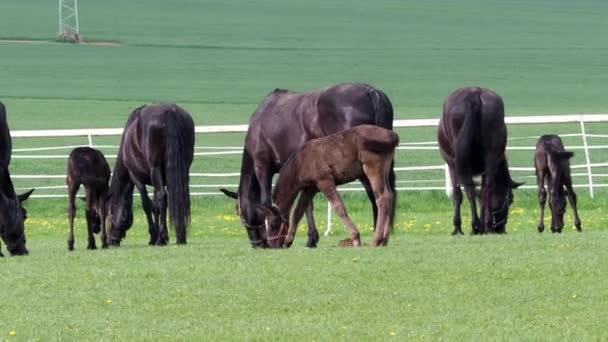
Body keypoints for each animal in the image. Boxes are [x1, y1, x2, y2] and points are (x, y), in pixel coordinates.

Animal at [107, 104, 195, 246]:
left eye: (110, 214)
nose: (111, 240)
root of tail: (170, 112)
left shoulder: (136, 178)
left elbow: (147, 204)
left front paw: (154, 236)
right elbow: (156, 206)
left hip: (155, 169)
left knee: (162, 197)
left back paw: (161, 238)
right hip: (183, 170)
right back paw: (180, 236)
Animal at [218, 83, 394, 248]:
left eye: (239, 214)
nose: (257, 244)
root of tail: (372, 92)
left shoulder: (263, 167)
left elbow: (270, 201)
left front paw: (310, 238)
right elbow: (304, 205)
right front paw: (310, 238)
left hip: (365, 168)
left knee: (376, 195)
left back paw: (376, 235)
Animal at [436, 87, 524, 235]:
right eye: (510, 200)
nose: (501, 229)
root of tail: (474, 95)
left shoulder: (452, 165)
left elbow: (457, 194)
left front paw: (458, 227)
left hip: (460, 163)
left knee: (469, 190)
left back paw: (476, 226)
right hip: (490, 158)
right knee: (486, 189)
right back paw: (483, 226)